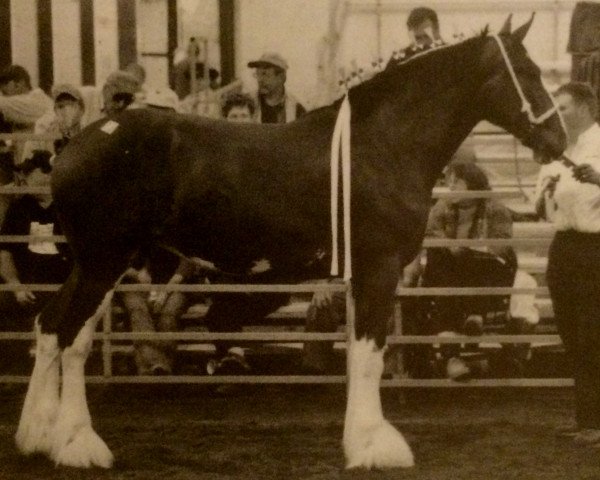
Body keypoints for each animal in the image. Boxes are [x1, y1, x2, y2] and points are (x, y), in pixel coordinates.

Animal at [15, 15, 568, 468]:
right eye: (528, 71)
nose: (558, 141)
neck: (381, 143)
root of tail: (75, 145)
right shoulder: (380, 268)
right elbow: (370, 353)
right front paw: (375, 447)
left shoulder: (359, 276)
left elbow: (358, 354)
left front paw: (358, 441)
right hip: (103, 262)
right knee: (72, 339)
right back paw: (79, 445)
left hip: (92, 263)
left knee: (50, 328)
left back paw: (37, 436)